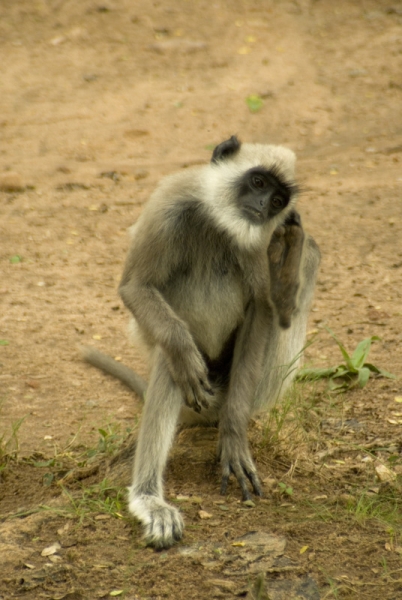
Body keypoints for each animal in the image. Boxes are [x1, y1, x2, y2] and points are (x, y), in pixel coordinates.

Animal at [81, 136, 320, 548]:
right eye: (258, 183)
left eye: (277, 200)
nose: (262, 207)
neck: (220, 222)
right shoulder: (169, 204)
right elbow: (136, 288)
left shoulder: (258, 241)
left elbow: (261, 309)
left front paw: (234, 436)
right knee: (172, 360)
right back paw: (149, 499)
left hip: (257, 384)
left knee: (302, 269)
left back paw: (292, 259)